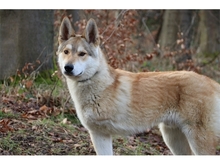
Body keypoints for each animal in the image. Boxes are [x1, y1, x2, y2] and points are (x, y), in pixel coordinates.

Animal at [56, 16, 220, 155]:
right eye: (66, 52)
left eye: (82, 54)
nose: (68, 67)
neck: (96, 83)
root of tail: (212, 82)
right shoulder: (99, 135)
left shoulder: (101, 134)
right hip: (173, 139)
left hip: (198, 142)